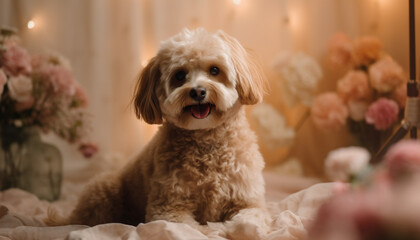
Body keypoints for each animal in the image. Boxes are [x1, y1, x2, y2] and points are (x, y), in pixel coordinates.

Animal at [49, 28, 270, 236]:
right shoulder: (168, 208)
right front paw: (211, 230)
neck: (207, 140)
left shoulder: (249, 202)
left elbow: (248, 221)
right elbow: (191, 229)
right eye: (180, 75)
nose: (197, 91)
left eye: (214, 70)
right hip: (104, 189)